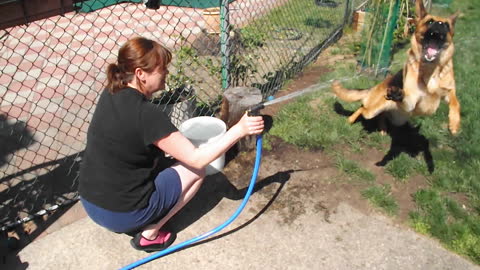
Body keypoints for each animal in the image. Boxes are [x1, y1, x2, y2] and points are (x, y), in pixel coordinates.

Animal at [334, 0, 462, 135]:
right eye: (430, 21)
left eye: (447, 25)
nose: (440, 24)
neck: (430, 69)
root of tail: (375, 87)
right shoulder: (412, 100)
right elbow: (406, 97)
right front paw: (398, 94)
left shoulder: (449, 91)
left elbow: (456, 102)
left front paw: (454, 123)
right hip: (373, 111)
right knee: (363, 109)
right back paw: (351, 119)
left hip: (397, 119)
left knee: (382, 115)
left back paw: (383, 128)